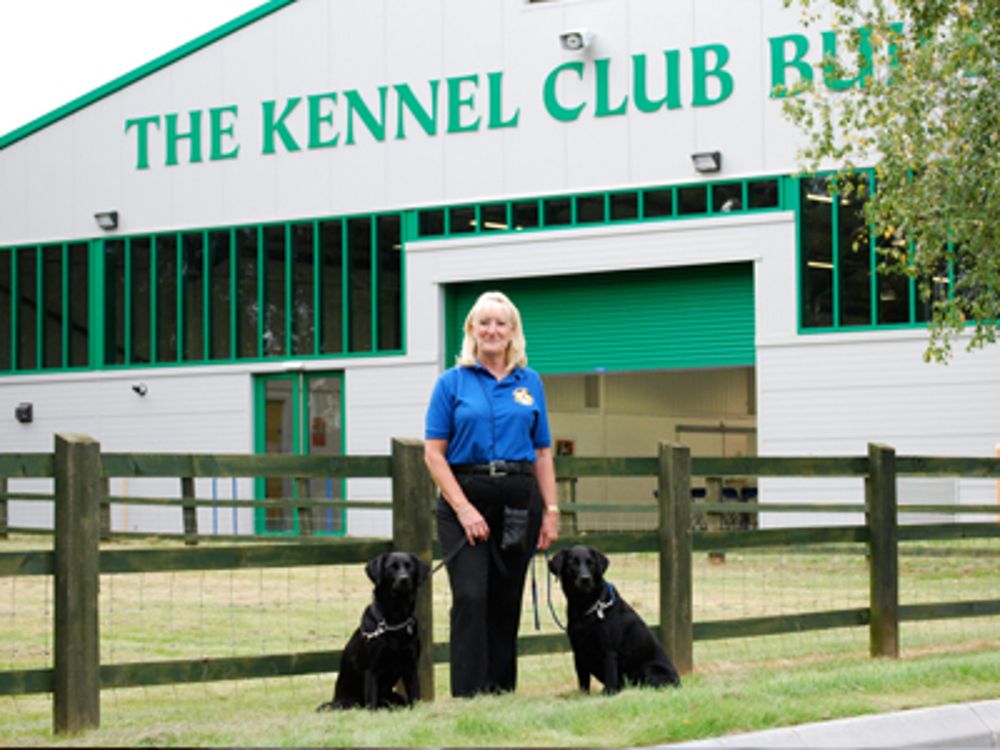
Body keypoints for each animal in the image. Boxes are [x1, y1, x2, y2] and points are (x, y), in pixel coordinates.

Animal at [320, 552, 430, 712]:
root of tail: (334, 701)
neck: (394, 621)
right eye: (391, 567)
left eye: (410, 566)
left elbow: (415, 695)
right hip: (349, 703)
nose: (404, 579)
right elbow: (372, 701)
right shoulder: (371, 669)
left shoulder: (411, 667)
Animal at [548, 548, 680, 700]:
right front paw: (583, 696)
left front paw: (609, 694)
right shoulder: (579, 652)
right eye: (572, 562)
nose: (585, 579)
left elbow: (610, 678)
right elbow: (583, 682)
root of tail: (680, 682)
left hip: (649, 669)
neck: (586, 606)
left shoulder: (609, 651)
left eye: (591, 563)